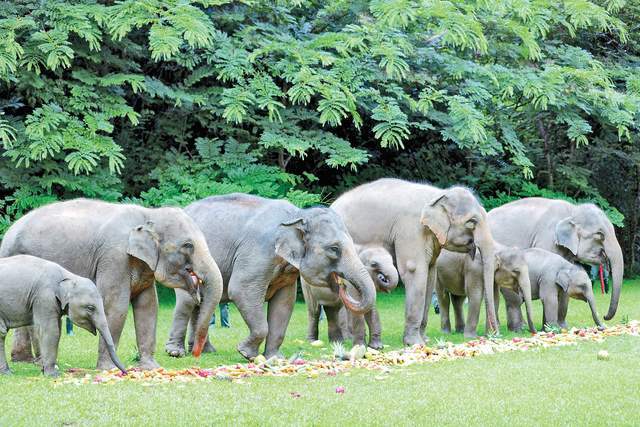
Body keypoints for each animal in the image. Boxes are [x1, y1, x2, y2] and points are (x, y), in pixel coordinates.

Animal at [0, 199, 223, 370]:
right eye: (188, 245)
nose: (196, 355)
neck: (148, 213)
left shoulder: (143, 266)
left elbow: (148, 306)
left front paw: (151, 368)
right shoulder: (114, 257)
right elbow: (116, 306)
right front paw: (108, 369)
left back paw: (25, 361)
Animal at [164, 193, 377, 360]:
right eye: (334, 249)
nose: (342, 285)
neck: (297, 215)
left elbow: (284, 303)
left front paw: (274, 358)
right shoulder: (258, 251)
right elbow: (241, 290)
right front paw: (246, 353)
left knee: (200, 302)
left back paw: (204, 351)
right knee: (187, 302)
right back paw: (176, 352)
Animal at [331, 178, 497, 346]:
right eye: (472, 222)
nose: (494, 335)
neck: (438, 195)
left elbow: (430, 275)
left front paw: (424, 340)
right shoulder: (410, 229)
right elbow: (414, 270)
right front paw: (415, 343)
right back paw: (346, 340)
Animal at [488, 198, 623, 324]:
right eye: (599, 234)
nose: (605, 316)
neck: (572, 210)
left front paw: (562, 326)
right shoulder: (547, 239)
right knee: (512, 298)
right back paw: (520, 328)